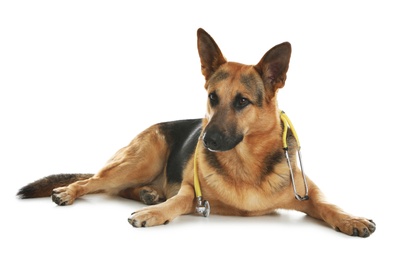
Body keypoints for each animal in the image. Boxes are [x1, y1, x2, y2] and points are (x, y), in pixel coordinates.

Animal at [17, 27, 376, 238]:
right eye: (212, 97)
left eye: (242, 101)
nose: (207, 140)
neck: (245, 165)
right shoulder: (193, 190)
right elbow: (180, 199)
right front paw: (155, 213)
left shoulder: (309, 193)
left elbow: (330, 205)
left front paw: (352, 219)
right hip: (138, 162)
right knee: (91, 181)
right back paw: (72, 192)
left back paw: (148, 193)